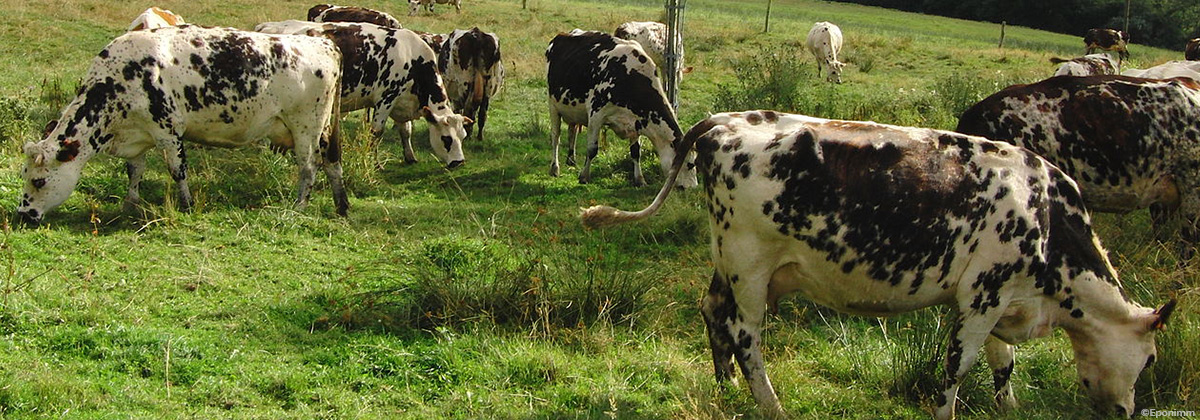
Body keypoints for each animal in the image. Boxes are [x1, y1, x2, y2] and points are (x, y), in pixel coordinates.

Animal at [18, 25, 348, 224]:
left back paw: (299, 206)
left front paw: (187, 205)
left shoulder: (168, 130)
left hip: (306, 126)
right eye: (25, 175)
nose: (24, 213)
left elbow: (177, 170)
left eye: (39, 180)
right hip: (323, 130)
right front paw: (130, 204)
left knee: (309, 167)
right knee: (332, 161)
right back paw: (341, 206)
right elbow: (134, 170)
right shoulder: (138, 135)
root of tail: (323, 42)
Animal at [255, 20, 469, 168]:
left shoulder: (402, 102)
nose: (458, 162)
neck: (413, 59)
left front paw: (410, 157)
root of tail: (267, 26)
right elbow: (376, 132)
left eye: (463, 136)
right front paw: (375, 163)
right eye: (447, 139)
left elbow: (406, 130)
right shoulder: (386, 98)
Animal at [545, 29, 698, 188]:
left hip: (573, 110)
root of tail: (564, 34)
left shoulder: (636, 121)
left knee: (572, 131)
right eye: (690, 164)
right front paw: (584, 176)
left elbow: (636, 152)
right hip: (553, 106)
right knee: (556, 137)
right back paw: (555, 168)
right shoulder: (596, 114)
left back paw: (571, 160)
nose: (693, 187)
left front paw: (639, 179)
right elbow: (592, 149)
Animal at [581, 110, 1176, 420]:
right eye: (1149, 361)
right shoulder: (982, 294)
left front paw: (1007, 408)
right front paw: (947, 412)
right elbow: (959, 365)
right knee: (745, 334)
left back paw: (726, 387)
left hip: (729, 262)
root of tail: (726, 119)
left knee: (712, 312)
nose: (1127, 412)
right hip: (750, 265)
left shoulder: (1001, 298)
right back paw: (770, 405)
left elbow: (1002, 363)